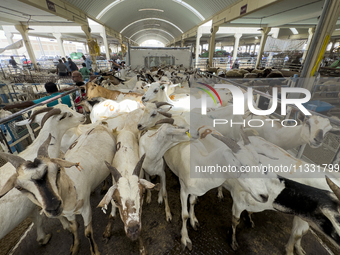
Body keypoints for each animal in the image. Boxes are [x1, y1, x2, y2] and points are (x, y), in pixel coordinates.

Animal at [0, 124, 115, 254]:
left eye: (58, 169)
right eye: (19, 187)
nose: (53, 207)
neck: (70, 185)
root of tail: (98, 125)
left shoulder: (86, 208)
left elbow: (88, 232)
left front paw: (95, 251)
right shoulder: (68, 213)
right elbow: (73, 227)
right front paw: (75, 247)